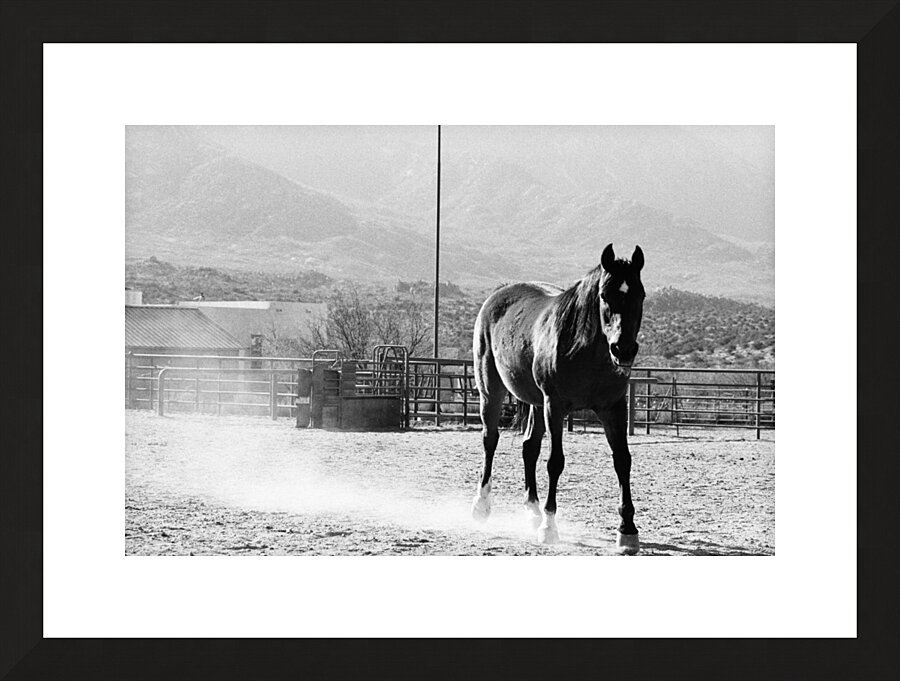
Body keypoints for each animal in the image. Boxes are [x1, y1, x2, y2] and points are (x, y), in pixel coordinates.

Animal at [470, 243, 646, 554]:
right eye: (605, 295)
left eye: (640, 294)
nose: (622, 350)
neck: (584, 350)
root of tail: (498, 294)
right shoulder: (556, 405)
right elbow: (555, 462)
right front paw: (549, 527)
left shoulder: (613, 408)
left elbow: (622, 461)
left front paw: (627, 531)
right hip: (491, 392)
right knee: (490, 441)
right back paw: (481, 505)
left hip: (536, 403)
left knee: (529, 447)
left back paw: (532, 511)